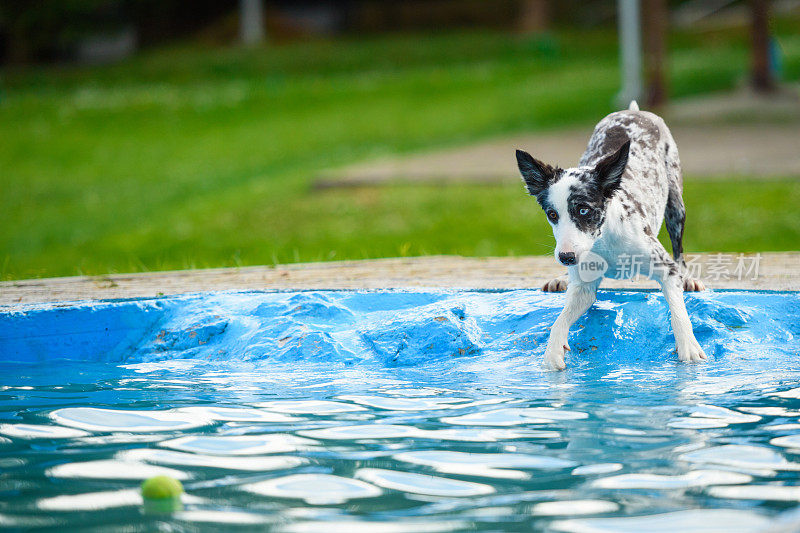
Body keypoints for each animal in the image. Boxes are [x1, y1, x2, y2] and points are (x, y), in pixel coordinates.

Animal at [512, 103, 708, 370]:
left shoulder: (665, 269)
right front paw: (552, 352)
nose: (566, 257)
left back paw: (688, 276)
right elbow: (559, 321)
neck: (604, 241)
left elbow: (678, 311)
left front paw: (688, 346)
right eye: (552, 214)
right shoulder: (584, 287)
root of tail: (634, 111)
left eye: (583, 210)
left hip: (676, 204)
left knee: (679, 248)